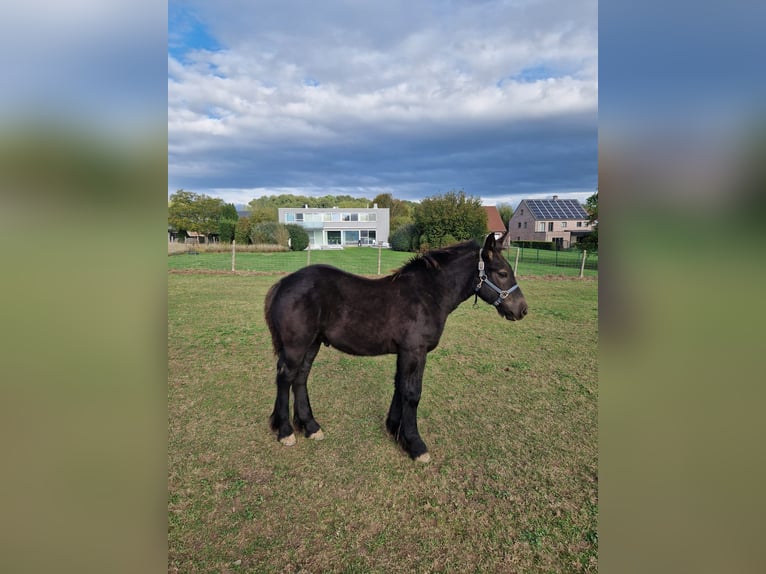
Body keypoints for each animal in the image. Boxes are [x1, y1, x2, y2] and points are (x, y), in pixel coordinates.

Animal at [263, 232, 527, 462]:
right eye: (503, 273)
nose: (522, 310)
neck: (427, 294)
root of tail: (283, 282)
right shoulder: (414, 351)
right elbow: (412, 393)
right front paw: (415, 445)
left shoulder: (405, 352)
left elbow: (400, 386)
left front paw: (394, 430)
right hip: (296, 345)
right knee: (285, 378)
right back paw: (286, 431)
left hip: (312, 344)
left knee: (300, 378)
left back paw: (310, 426)